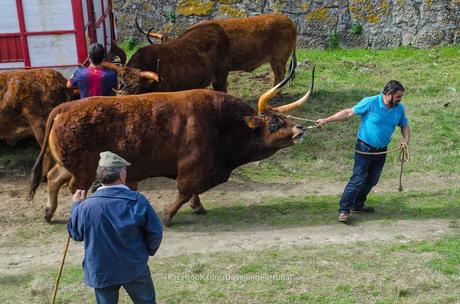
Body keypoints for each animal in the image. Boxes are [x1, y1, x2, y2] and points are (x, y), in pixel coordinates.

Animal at [28, 62, 314, 228]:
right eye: (275, 122)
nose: (300, 129)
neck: (223, 124)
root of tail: (65, 107)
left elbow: (194, 192)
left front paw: (198, 207)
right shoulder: (193, 167)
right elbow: (185, 191)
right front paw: (167, 215)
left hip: (72, 165)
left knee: (54, 177)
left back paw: (48, 212)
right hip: (83, 169)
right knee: (72, 187)